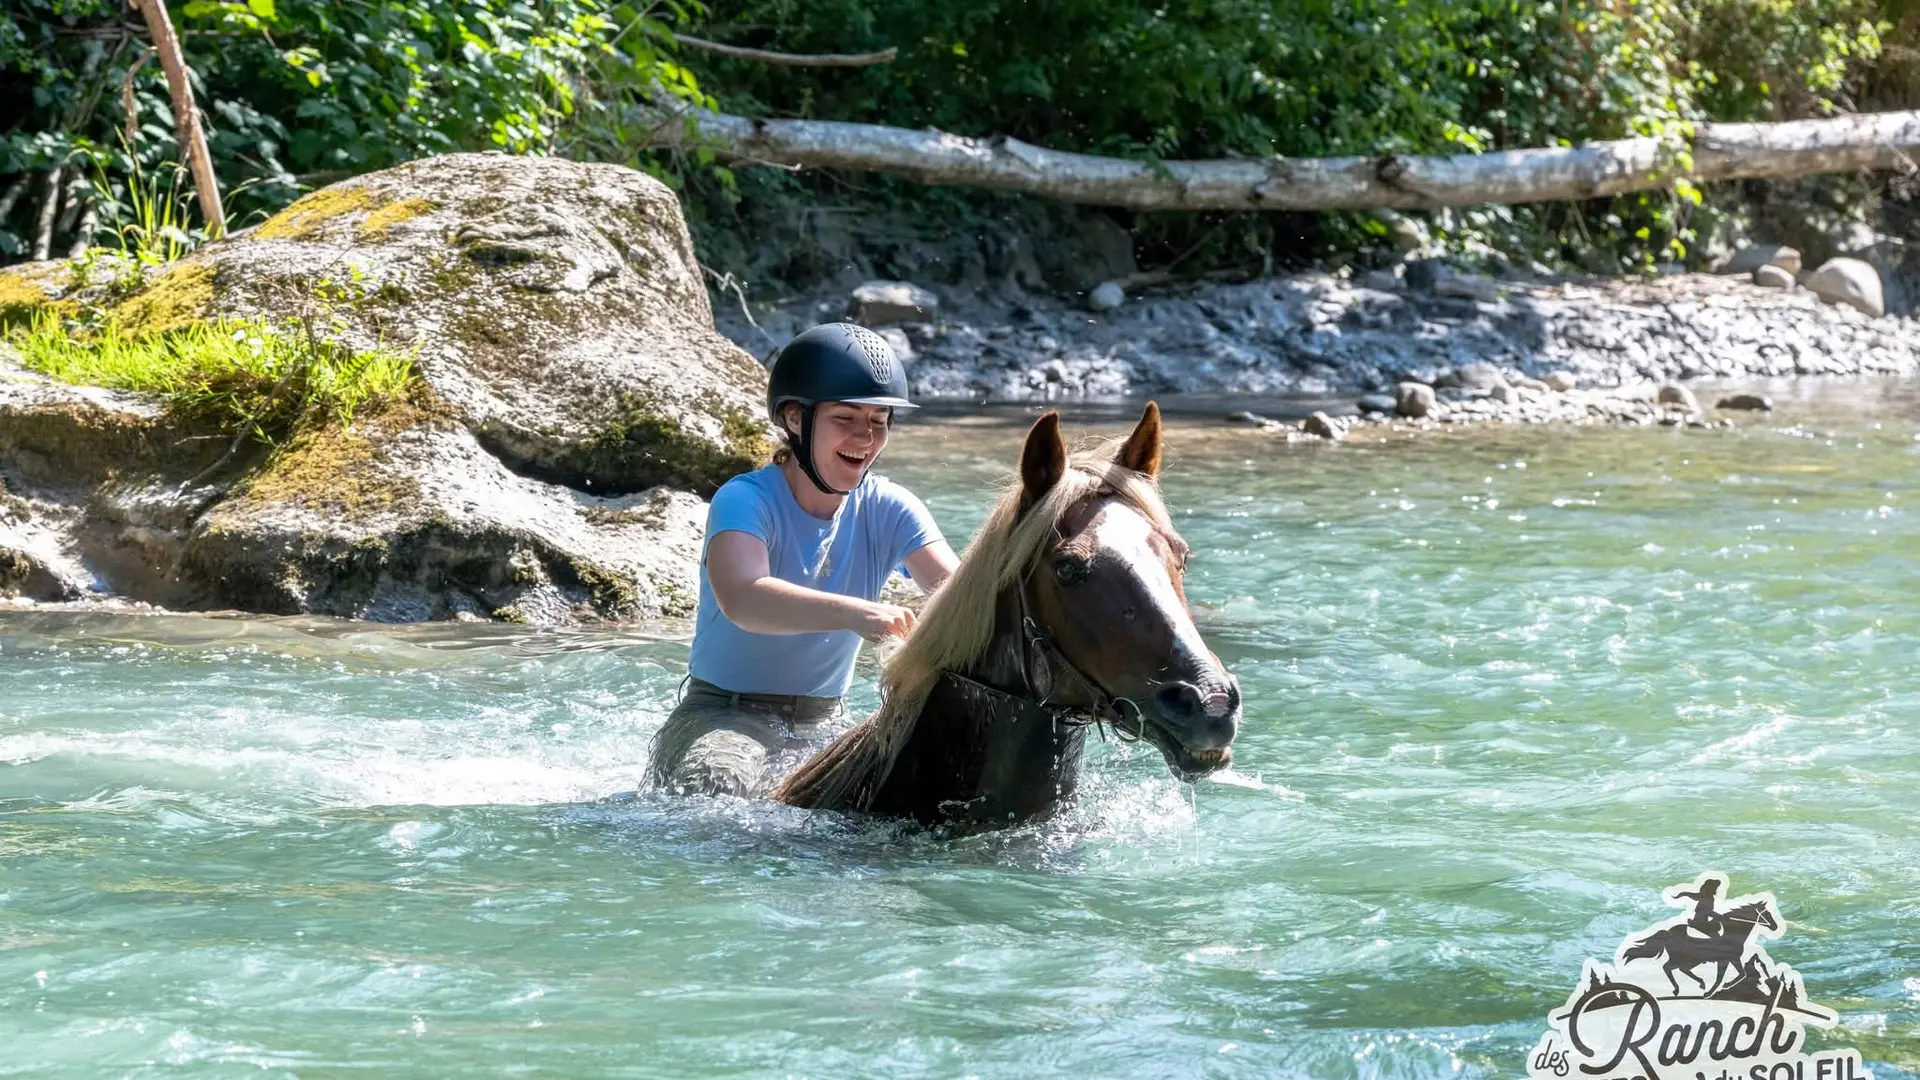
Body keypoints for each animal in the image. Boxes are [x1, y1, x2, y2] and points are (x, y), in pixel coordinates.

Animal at [1620, 900, 1780, 997]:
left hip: (1690, 960)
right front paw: (1712, 991)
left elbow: (1741, 974)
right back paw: (1679, 988)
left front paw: (1723, 986)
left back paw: (1700, 983)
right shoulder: (1725, 960)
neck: (1733, 933)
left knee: (1680, 969)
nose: (1775, 926)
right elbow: (1723, 977)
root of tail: (1668, 933)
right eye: (1767, 913)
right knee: (1668, 967)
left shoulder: (1732, 959)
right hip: (1684, 958)